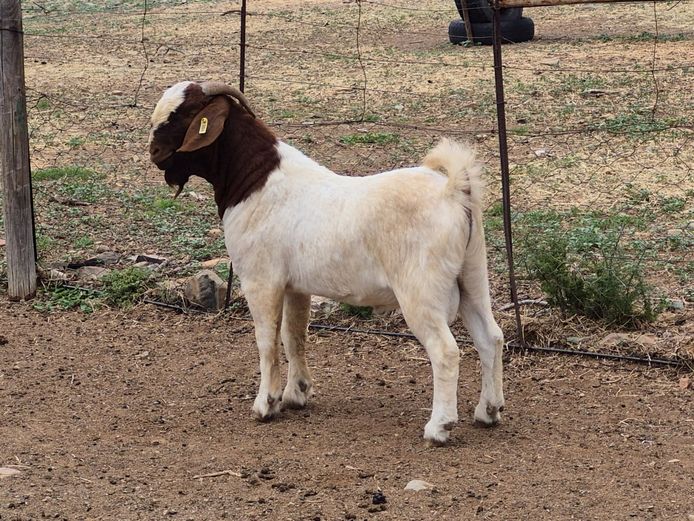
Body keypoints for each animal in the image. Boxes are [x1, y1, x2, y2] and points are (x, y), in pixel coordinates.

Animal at [148, 81, 505, 445]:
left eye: (183, 115)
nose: (155, 153)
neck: (255, 181)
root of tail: (453, 190)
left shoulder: (260, 279)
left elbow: (266, 340)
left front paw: (266, 404)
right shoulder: (295, 286)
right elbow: (293, 336)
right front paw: (296, 394)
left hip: (422, 290)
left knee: (445, 351)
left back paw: (439, 427)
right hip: (472, 275)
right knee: (491, 337)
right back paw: (488, 411)